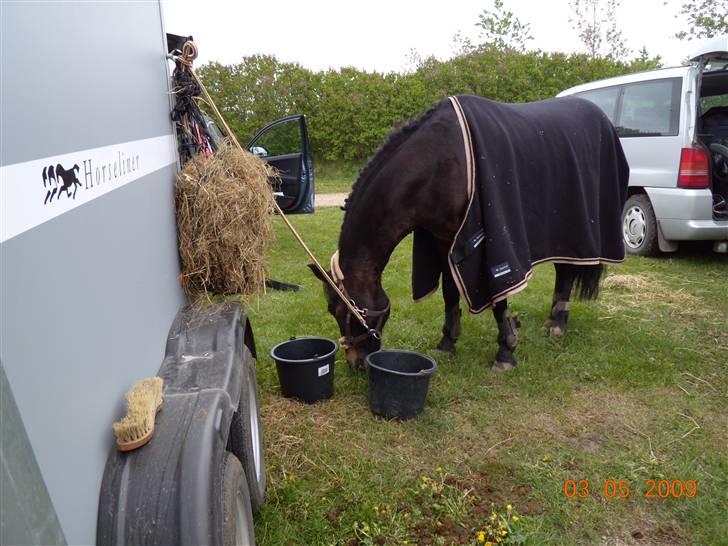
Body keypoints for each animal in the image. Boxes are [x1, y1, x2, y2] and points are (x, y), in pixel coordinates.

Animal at [310, 95, 629, 371]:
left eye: (341, 311)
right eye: (331, 310)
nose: (356, 363)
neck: (437, 164)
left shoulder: (489, 242)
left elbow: (499, 299)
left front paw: (506, 352)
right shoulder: (444, 239)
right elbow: (450, 290)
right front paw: (447, 342)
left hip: (576, 229)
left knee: (566, 269)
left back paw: (558, 325)